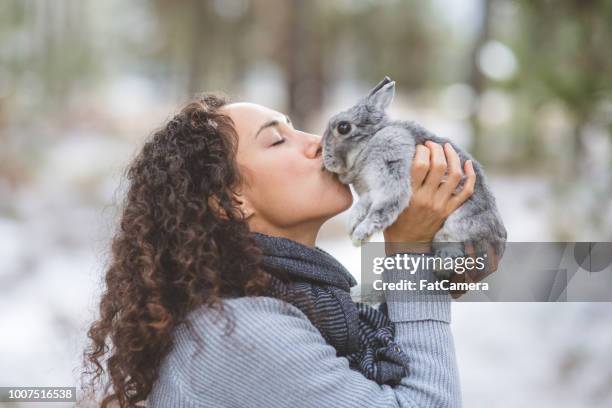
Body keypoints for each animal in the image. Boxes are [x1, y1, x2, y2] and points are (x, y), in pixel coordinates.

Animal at [320, 75, 506, 278]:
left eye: (343, 127)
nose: (325, 158)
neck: (371, 141)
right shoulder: (371, 191)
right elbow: (365, 203)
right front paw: (352, 223)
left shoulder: (391, 163)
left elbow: (385, 205)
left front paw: (360, 234)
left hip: (462, 222)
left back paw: (442, 263)